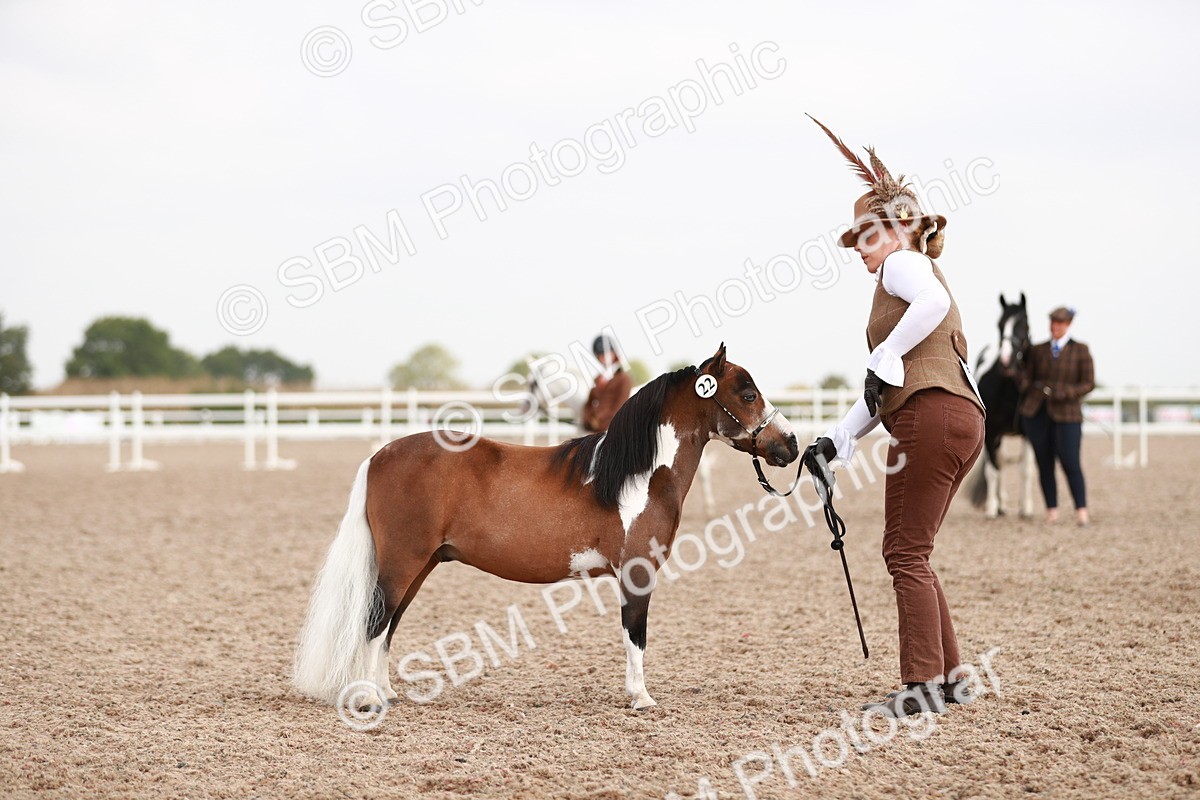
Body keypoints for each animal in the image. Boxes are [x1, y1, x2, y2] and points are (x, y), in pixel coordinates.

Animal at [294, 344, 798, 711]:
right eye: (748, 395)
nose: (791, 444)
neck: (637, 475)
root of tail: (379, 456)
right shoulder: (636, 573)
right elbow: (635, 636)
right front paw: (641, 698)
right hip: (402, 565)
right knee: (374, 624)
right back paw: (367, 699)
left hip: (419, 567)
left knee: (388, 626)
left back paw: (386, 693)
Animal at [969, 293, 1036, 518]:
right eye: (1000, 324)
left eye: (1024, 324)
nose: (1007, 361)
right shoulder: (991, 433)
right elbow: (993, 471)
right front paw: (991, 508)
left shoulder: (1028, 434)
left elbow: (1026, 471)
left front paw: (1027, 509)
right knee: (999, 463)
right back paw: (1001, 505)